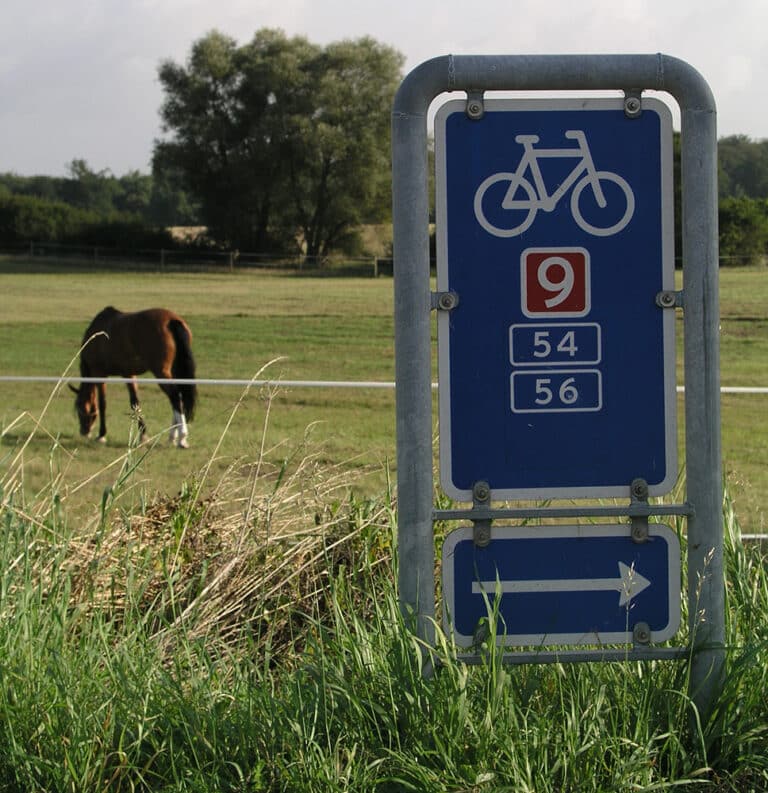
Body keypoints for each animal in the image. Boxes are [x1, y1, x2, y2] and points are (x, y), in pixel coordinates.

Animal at [70, 306, 198, 446]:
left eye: (80, 409)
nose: (84, 431)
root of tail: (171, 320)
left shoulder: (99, 374)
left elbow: (102, 403)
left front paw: (102, 434)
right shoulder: (129, 374)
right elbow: (135, 402)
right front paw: (143, 434)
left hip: (161, 373)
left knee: (175, 397)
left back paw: (182, 437)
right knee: (179, 397)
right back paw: (173, 436)